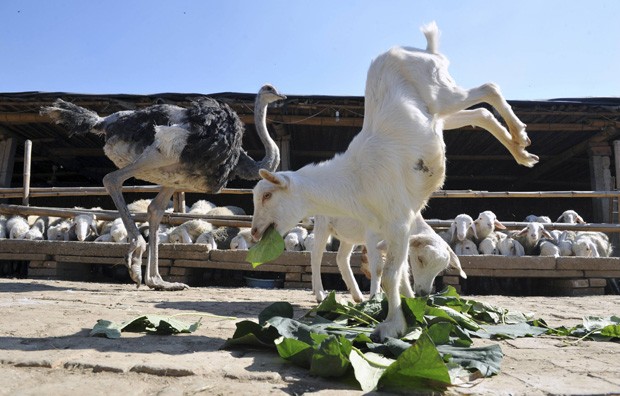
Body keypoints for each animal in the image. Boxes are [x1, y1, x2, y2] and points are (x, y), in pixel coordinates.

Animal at [249, 20, 536, 338]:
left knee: (488, 88)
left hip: (439, 91)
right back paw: (521, 149)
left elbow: (389, 276)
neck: (353, 179)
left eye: (267, 195)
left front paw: (392, 326)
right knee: (481, 113)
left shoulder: (397, 224)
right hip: (438, 115)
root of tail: (423, 50)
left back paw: (520, 137)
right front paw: (409, 312)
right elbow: (398, 275)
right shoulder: (386, 230)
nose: (255, 232)